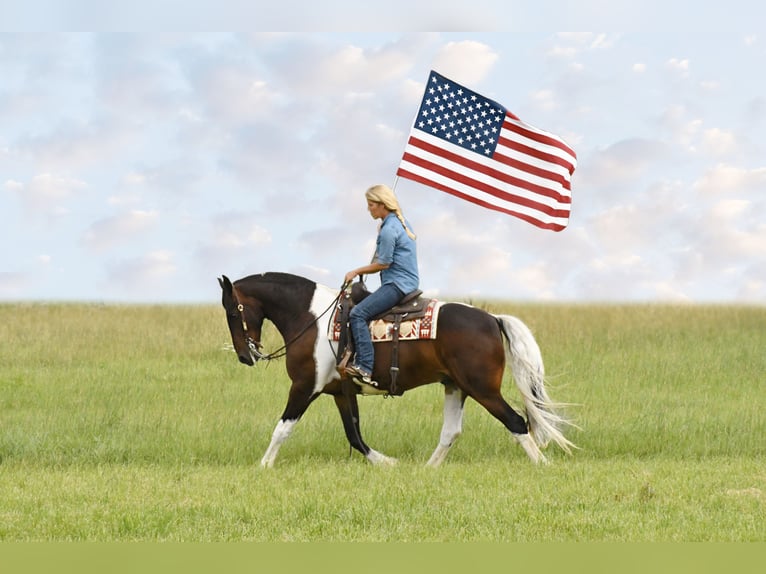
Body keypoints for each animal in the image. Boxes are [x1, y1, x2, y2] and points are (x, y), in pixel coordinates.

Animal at [219, 274, 572, 468]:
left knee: (516, 422)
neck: (311, 318)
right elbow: (354, 435)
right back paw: (427, 469)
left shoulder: (305, 386)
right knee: (451, 432)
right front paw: (387, 463)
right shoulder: (340, 392)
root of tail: (492, 318)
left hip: (483, 389)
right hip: (456, 387)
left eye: (232, 311)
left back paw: (543, 465)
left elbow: (282, 428)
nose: (244, 356)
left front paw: (264, 465)